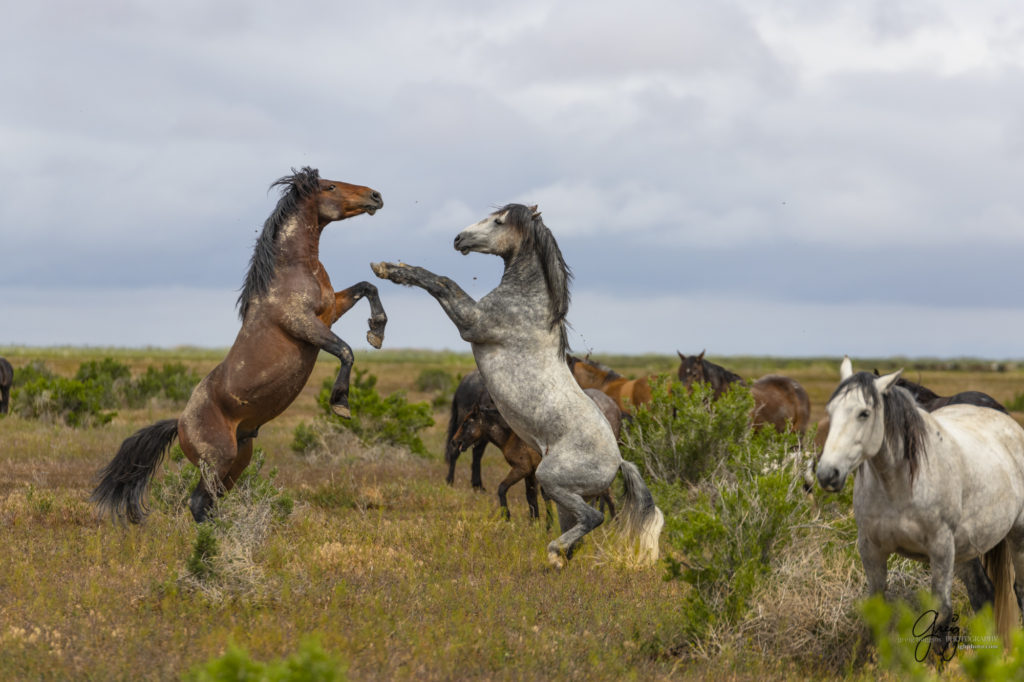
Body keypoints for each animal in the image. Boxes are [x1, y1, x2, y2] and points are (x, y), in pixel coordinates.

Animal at [92, 168, 385, 520]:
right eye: (330, 186)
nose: (375, 196)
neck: (292, 271)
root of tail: (180, 423)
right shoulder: (303, 323)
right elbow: (345, 351)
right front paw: (341, 403)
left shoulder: (331, 311)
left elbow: (367, 287)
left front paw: (377, 331)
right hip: (219, 460)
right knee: (197, 502)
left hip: (239, 459)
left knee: (209, 502)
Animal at [368, 204, 663, 565]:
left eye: (498, 221)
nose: (459, 238)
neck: (528, 304)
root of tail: (618, 462)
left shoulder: (471, 322)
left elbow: (441, 282)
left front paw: (388, 269)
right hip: (567, 498)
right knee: (579, 530)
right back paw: (559, 558)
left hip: (551, 479)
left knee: (593, 518)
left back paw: (553, 552)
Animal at [819, 356, 1024, 647]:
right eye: (831, 411)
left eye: (864, 413)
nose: (827, 473)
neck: (898, 487)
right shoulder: (871, 549)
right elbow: (877, 612)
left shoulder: (940, 549)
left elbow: (941, 613)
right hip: (965, 549)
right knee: (983, 594)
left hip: (1016, 534)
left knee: (1019, 591)